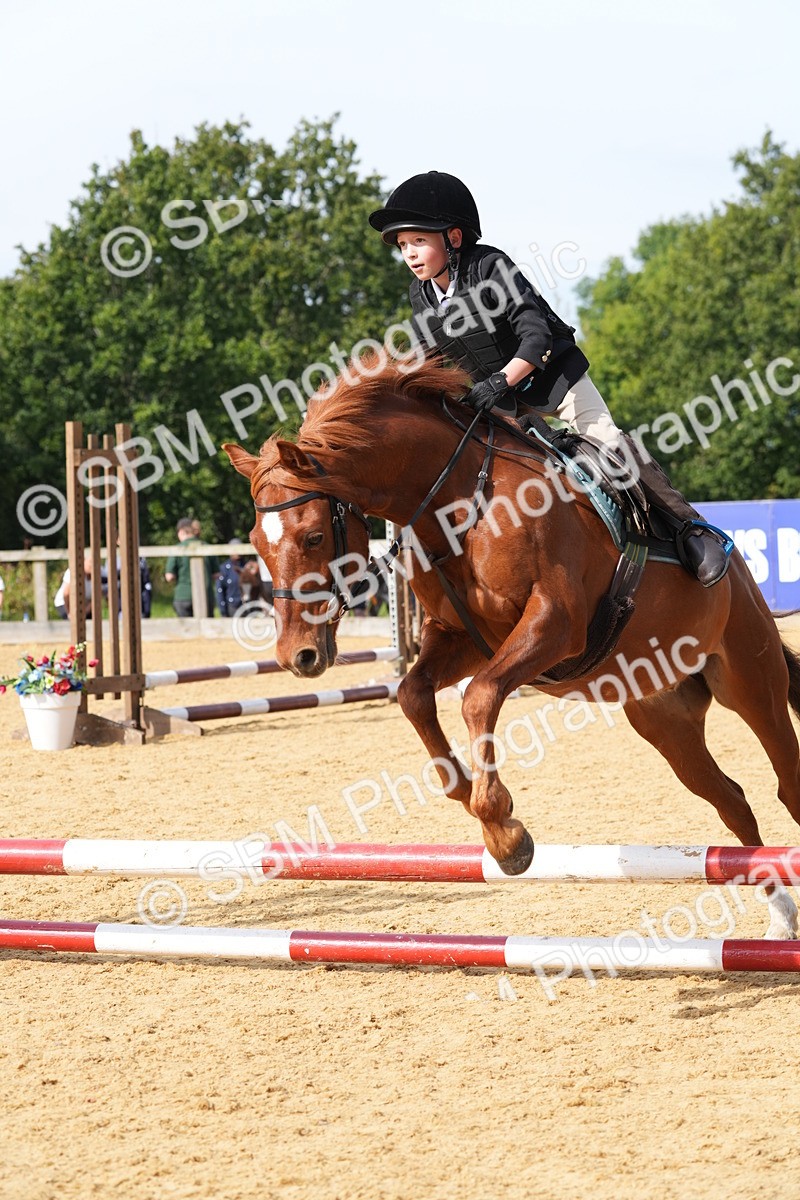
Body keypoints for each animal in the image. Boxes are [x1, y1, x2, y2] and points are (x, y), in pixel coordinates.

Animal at [224, 357, 800, 938]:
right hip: (664, 717)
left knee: (786, 781)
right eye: (255, 544)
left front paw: (505, 834)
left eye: (314, 537)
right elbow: (413, 694)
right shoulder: (464, 637)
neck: (456, 499)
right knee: (732, 801)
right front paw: (464, 793)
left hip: (751, 681)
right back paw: (779, 918)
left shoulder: (554, 624)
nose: (297, 656)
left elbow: (478, 697)